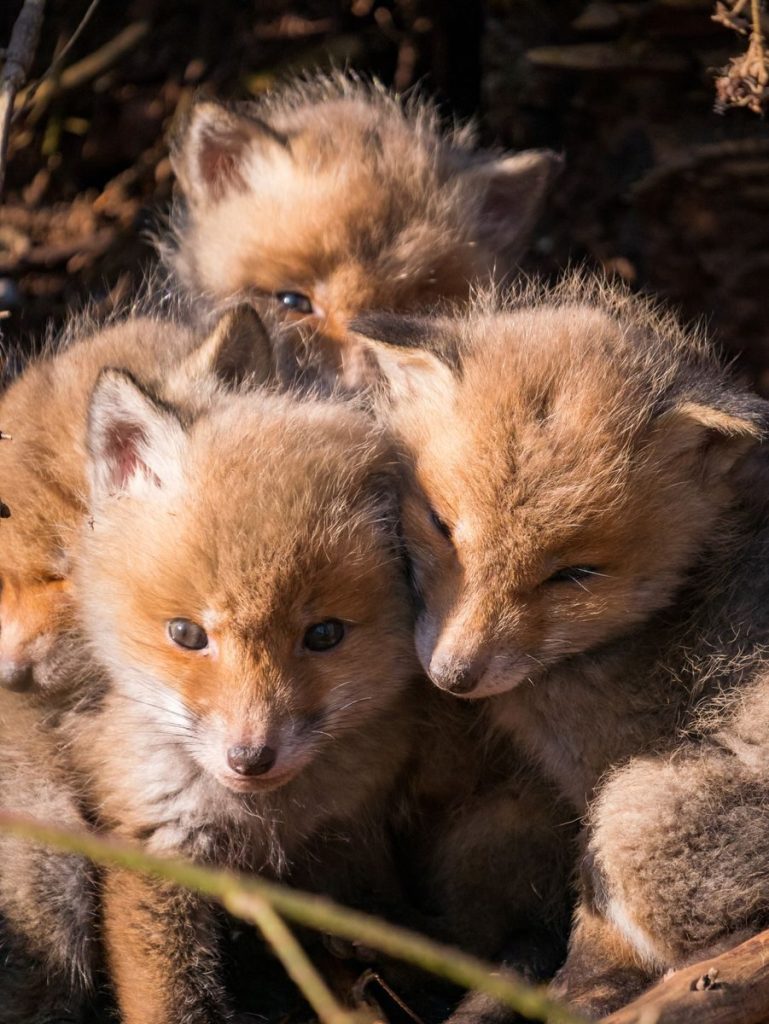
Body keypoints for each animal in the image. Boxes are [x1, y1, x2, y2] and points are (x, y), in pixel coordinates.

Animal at [61, 373, 572, 1024]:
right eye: (186, 634)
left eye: (324, 635)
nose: (250, 758)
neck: (268, 823)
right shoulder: (157, 838)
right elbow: (173, 998)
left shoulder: (349, 833)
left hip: (492, 826)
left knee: (475, 937)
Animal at [352, 275, 769, 1016]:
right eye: (440, 525)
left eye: (574, 574)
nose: (454, 675)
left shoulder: (605, 786)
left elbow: (594, 932)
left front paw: (571, 989)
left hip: (638, 813)